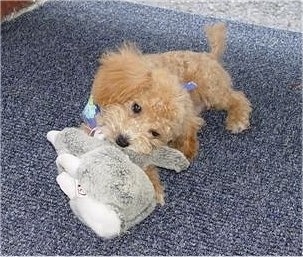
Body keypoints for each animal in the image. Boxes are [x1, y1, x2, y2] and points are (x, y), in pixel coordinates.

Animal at [91, 23, 253, 203]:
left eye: (155, 133)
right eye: (136, 107)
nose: (122, 141)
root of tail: (209, 56)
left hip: (212, 91)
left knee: (238, 97)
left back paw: (238, 120)